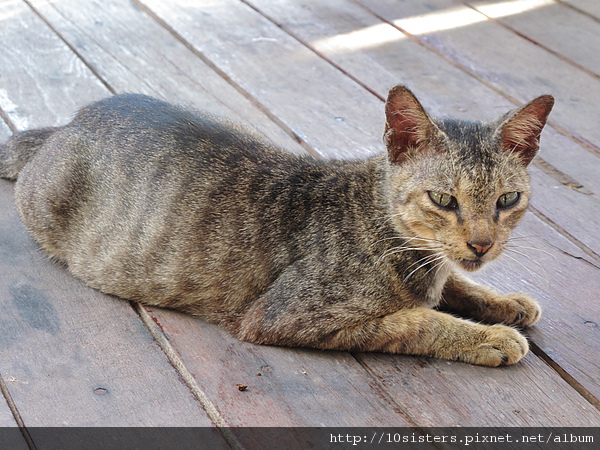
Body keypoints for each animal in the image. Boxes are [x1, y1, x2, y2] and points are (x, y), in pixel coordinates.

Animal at [0, 87, 552, 366]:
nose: (481, 244)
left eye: (507, 200)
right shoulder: (284, 316)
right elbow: (415, 321)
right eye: (442, 199)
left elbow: (456, 284)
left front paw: (504, 302)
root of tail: (71, 120)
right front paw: (491, 337)